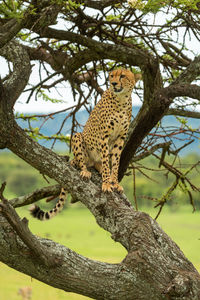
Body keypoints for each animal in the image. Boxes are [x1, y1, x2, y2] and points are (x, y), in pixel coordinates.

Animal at [30, 69, 141, 220]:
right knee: (81, 161)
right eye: (112, 76)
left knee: (98, 163)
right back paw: (85, 171)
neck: (122, 100)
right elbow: (106, 161)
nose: (113, 83)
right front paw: (107, 183)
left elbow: (115, 162)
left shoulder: (120, 138)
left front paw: (115, 182)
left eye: (122, 76)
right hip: (77, 137)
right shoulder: (104, 137)